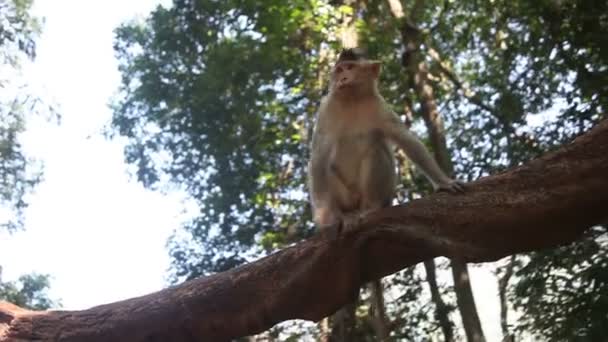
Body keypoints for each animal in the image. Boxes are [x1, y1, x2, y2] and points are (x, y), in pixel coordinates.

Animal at [308, 48, 466, 236]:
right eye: (339, 70)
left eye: (350, 67)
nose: (343, 78)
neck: (353, 99)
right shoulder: (326, 110)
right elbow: (319, 156)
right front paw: (325, 219)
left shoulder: (381, 107)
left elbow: (406, 140)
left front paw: (444, 182)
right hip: (346, 197)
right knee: (327, 167)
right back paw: (346, 215)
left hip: (383, 194)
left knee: (376, 150)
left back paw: (371, 207)